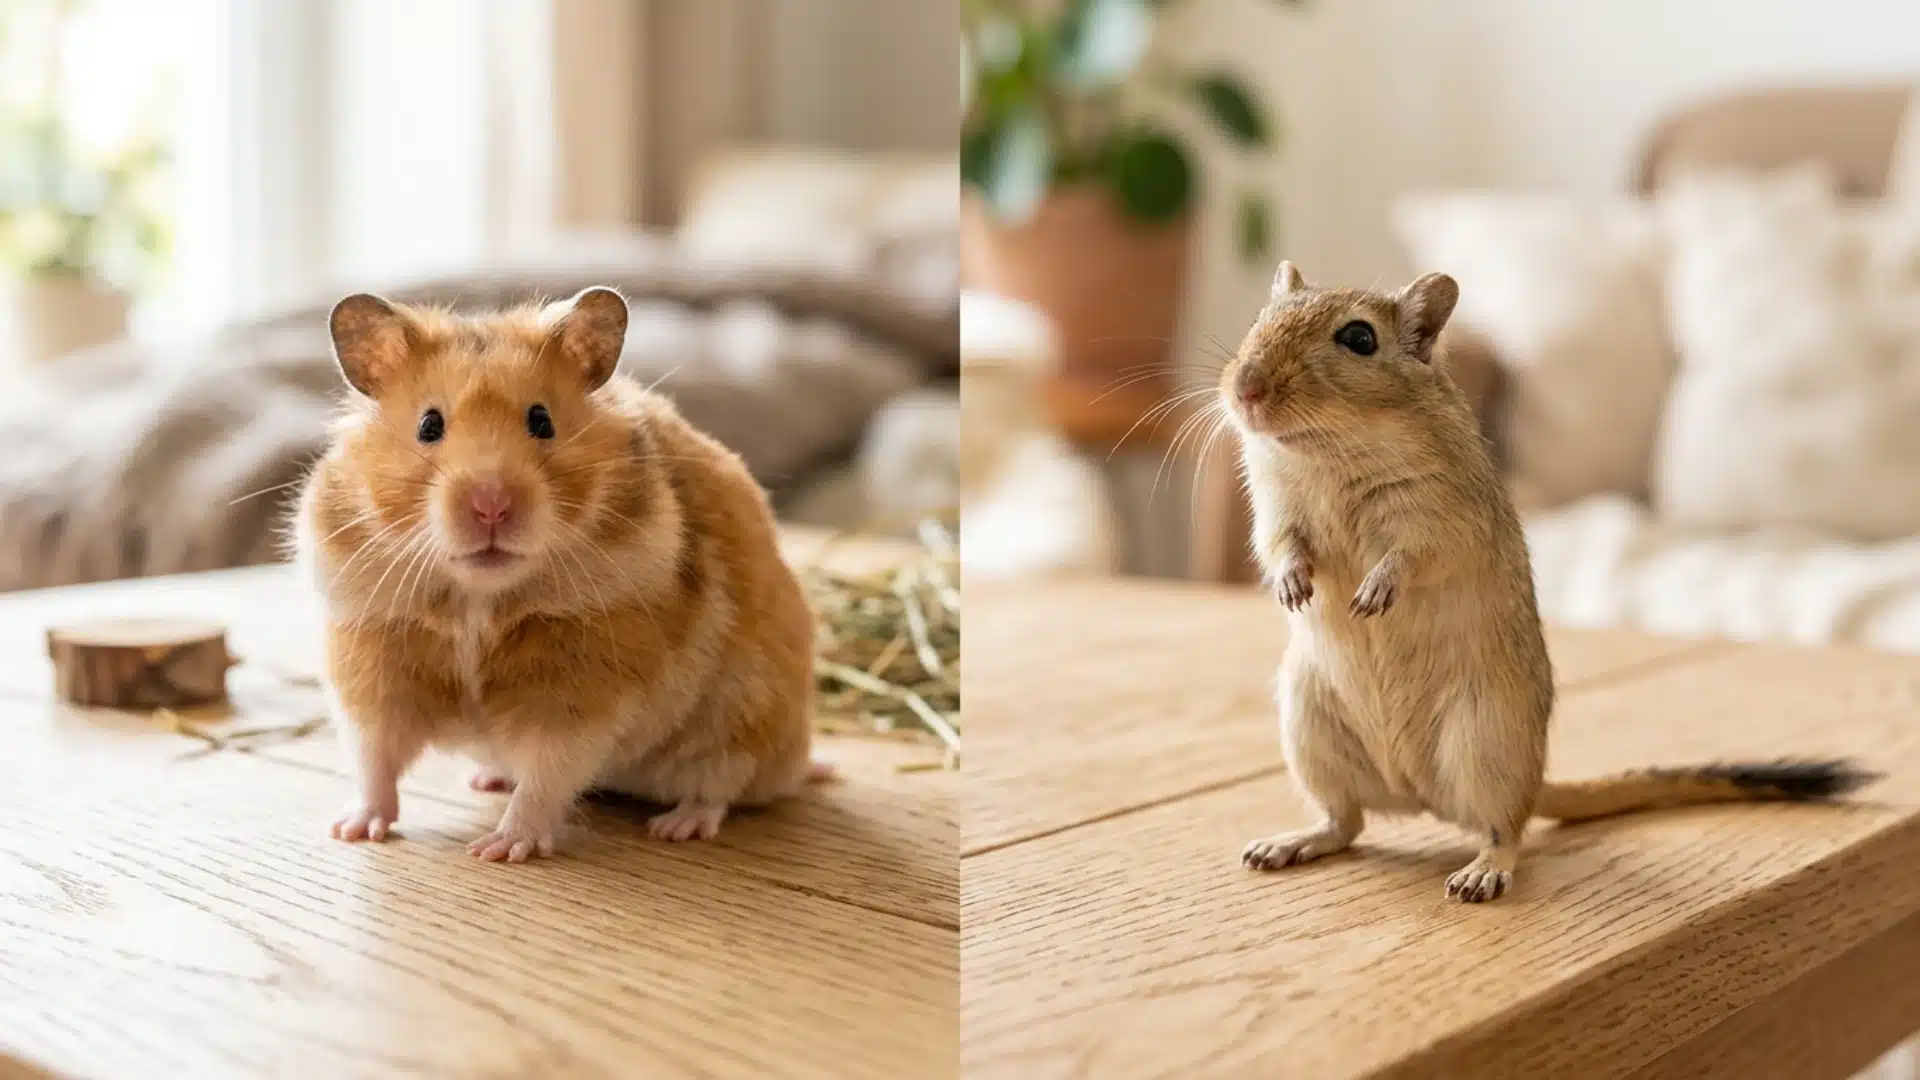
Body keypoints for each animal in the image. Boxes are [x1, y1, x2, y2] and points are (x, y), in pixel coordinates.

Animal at [294, 286, 821, 862]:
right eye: (429, 425)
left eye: (541, 420)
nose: (491, 506)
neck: (478, 599)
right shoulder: (372, 671)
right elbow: (375, 763)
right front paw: (351, 830)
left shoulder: (582, 697)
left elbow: (547, 777)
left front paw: (499, 849)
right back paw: (485, 780)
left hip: (744, 717)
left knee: (719, 787)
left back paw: (676, 826)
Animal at [1222, 262, 1875, 902]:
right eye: (1257, 319)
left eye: (1359, 339)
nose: (1246, 389)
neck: (1327, 451)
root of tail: (1419, 794)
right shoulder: (1276, 511)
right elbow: (1280, 548)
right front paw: (1292, 587)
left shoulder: (1444, 516)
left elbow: (1415, 555)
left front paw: (1375, 590)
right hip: (1311, 731)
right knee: (1347, 822)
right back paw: (1289, 844)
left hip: (1485, 741)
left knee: (1506, 829)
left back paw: (1482, 872)